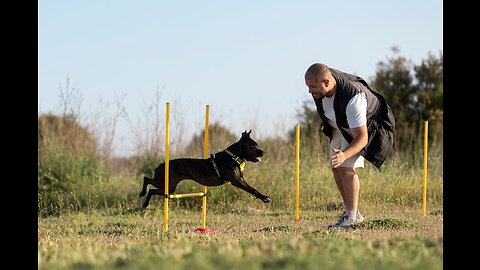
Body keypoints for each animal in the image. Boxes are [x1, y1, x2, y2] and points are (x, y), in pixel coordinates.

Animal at [141, 130, 272, 208]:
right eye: (252, 146)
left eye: (256, 144)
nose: (263, 152)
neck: (233, 156)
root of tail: (160, 165)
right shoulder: (237, 181)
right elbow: (252, 189)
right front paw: (265, 198)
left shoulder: (240, 179)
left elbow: (252, 188)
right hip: (166, 184)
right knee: (147, 181)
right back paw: (143, 198)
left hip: (169, 187)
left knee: (151, 187)